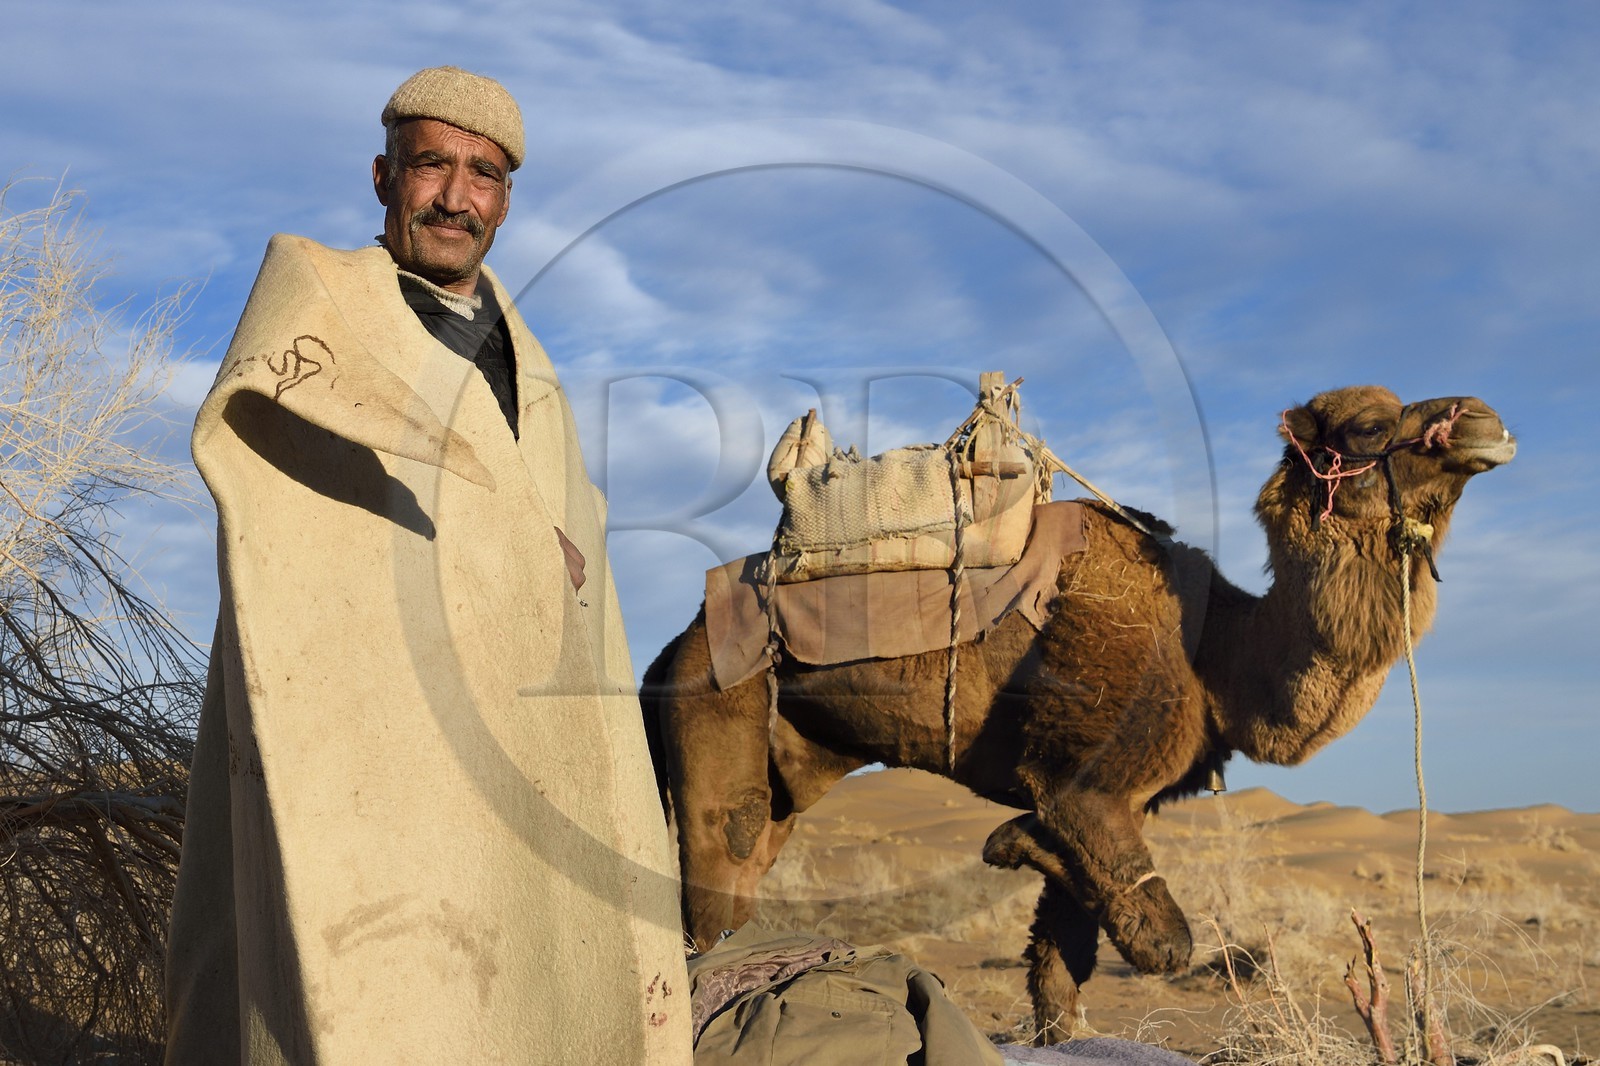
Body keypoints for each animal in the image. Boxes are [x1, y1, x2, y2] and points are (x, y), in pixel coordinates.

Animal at [641, 386, 1515, 1042]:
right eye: (1369, 425)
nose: (1487, 421)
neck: (1215, 655)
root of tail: (669, 651)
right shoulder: (1084, 780)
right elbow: (1161, 941)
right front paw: (1008, 842)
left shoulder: (1103, 803)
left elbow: (1064, 959)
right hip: (715, 709)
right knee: (712, 892)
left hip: (784, 763)